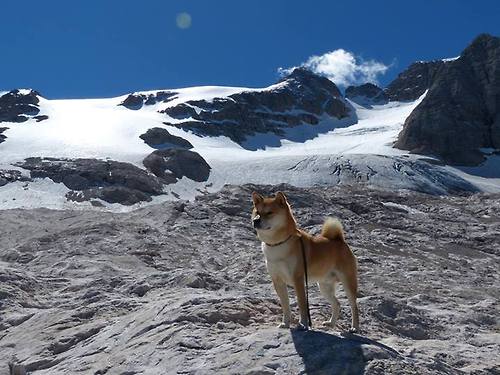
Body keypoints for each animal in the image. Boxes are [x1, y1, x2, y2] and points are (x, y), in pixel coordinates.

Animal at [250, 191, 360, 332]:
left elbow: (302, 304)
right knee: (337, 303)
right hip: (324, 286)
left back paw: (354, 327)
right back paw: (331, 323)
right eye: (257, 212)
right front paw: (285, 323)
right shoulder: (277, 281)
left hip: (348, 282)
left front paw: (303, 324)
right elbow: (285, 305)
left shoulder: (298, 279)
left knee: (354, 306)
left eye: (269, 213)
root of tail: (339, 240)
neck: (277, 244)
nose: (256, 220)